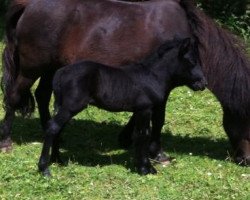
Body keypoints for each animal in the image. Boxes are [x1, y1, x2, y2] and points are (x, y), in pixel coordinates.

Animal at [38, 37, 207, 175]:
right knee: (53, 127)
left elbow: (138, 135)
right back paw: (44, 168)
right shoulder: (145, 109)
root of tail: (61, 73)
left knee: (58, 129)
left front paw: (141, 165)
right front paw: (146, 169)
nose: (203, 83)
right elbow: (143, 135)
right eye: (192, 61)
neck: (152, 76)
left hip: (63, 106)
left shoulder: (139, 111)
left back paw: (57, 160)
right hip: (71, 106)